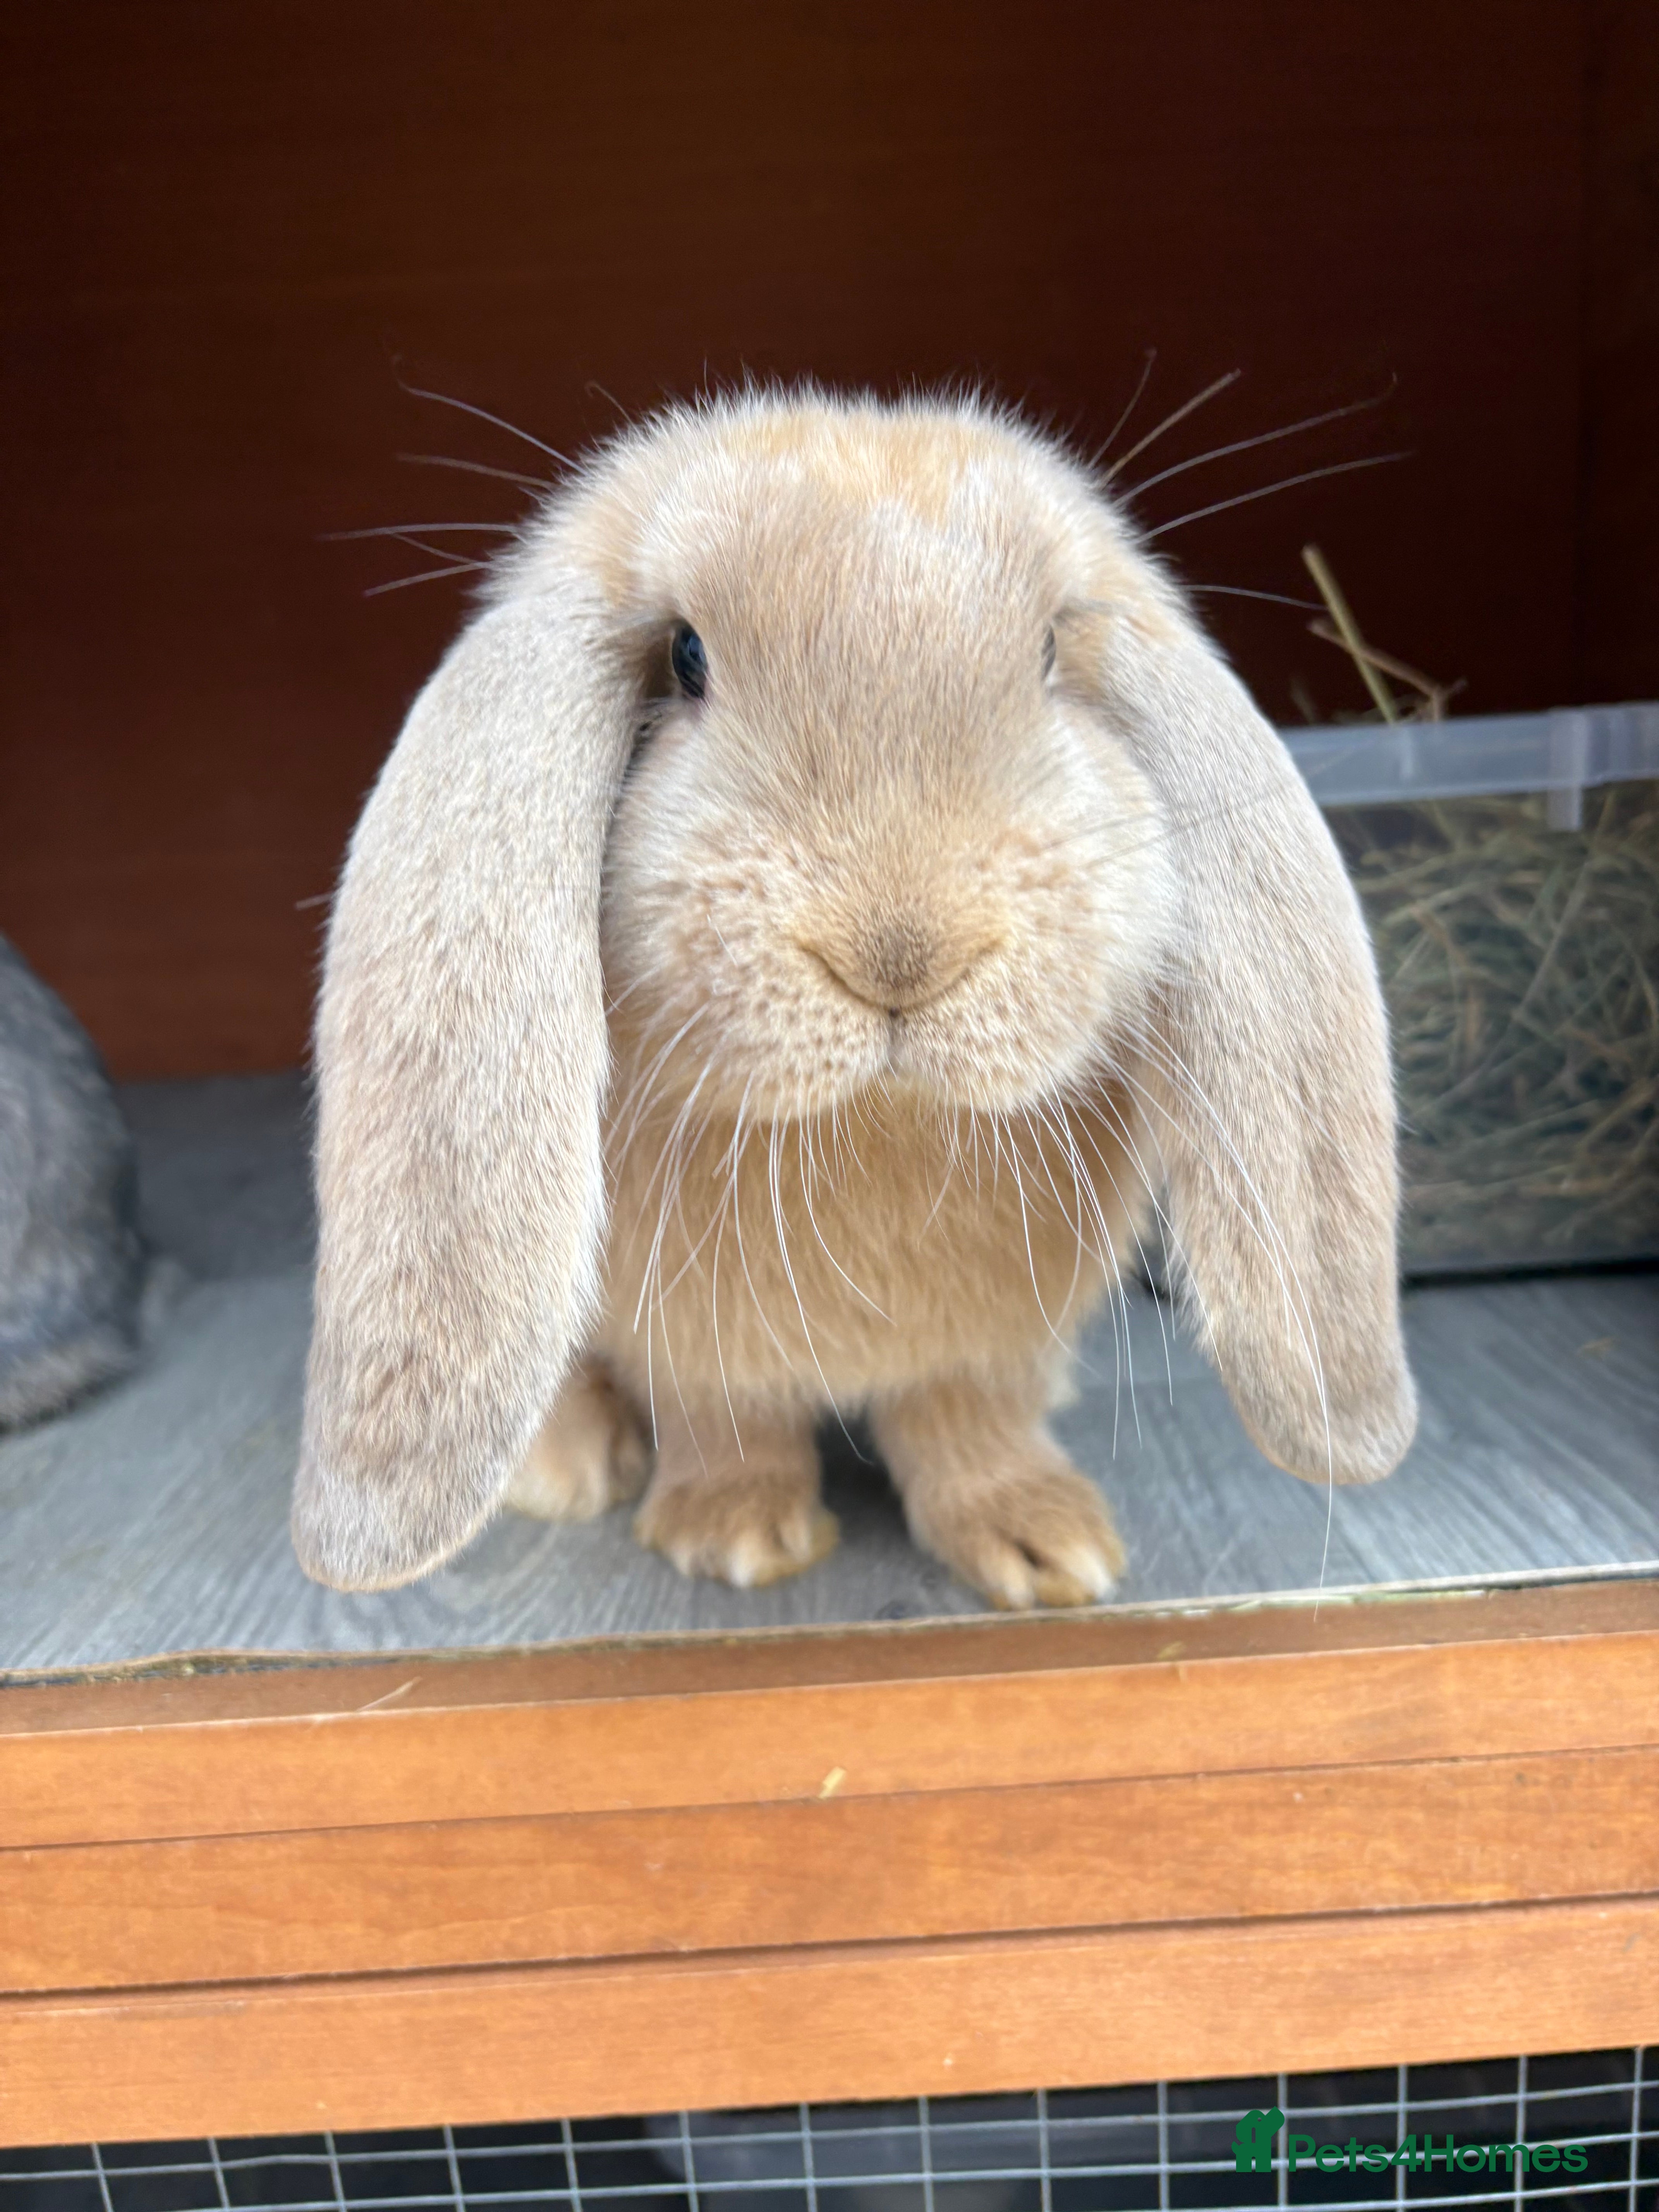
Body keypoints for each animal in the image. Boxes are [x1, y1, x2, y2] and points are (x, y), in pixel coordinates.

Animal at [292, 388, 1417, 1605]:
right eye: (685, 658)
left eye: (1049, 652)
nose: (899, 953)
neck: (877, 1120)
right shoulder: (691, 1348)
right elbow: (724, 1423)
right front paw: (733, 1535)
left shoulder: (993, 1350)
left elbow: (972, 1426)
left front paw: (1045, 1549)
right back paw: (570, 1465)